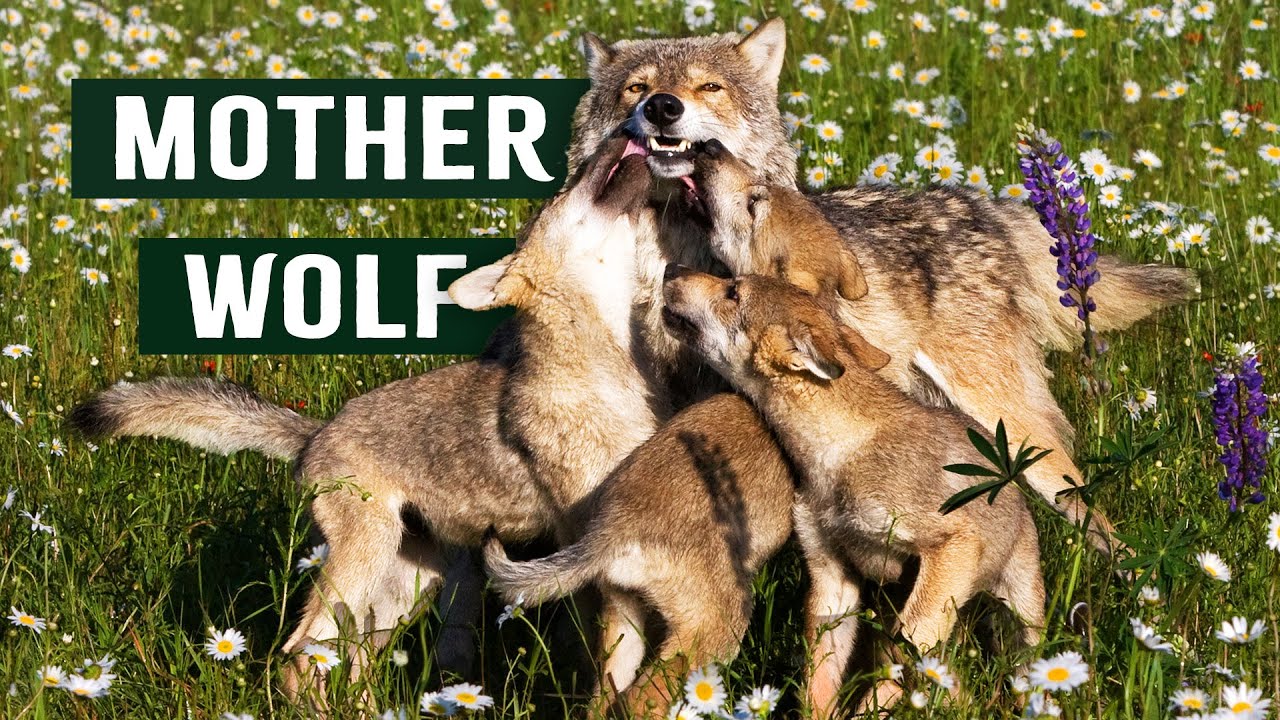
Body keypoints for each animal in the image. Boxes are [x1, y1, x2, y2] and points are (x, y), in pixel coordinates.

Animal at [68, 138, 665, 708]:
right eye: (567, 187)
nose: (627, 129)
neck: (608, 369)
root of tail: (315, 435)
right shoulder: (589, 549)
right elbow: (608, 662)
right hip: (364, 568)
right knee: (300, 652)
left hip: (404, 588)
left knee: (349, 659)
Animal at [662, 268, 1047, 716]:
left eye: (733, 292)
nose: (672, 270)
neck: (836, 454)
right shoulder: (832, 580)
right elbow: (819, 682)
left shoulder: (953, 541)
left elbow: (907, 652)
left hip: (1022, 616)